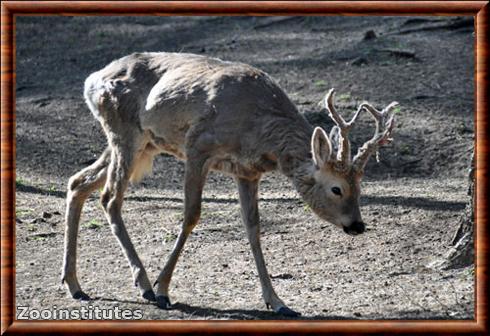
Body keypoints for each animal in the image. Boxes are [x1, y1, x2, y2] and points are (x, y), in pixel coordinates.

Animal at [62, 51, 398, 316]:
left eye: (360, 186)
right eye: (336, 188)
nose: (357, 225)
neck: (260, 129)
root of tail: (91, 81)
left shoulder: (247, 172)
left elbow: (253, 229)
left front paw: (278, 302)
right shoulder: (197, 145)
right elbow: (191, 215)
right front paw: (163, 289)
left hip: (145, 144)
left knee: (78, 182)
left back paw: (74, 284)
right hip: (125, 133)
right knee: (109, 197)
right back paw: (143, 284)